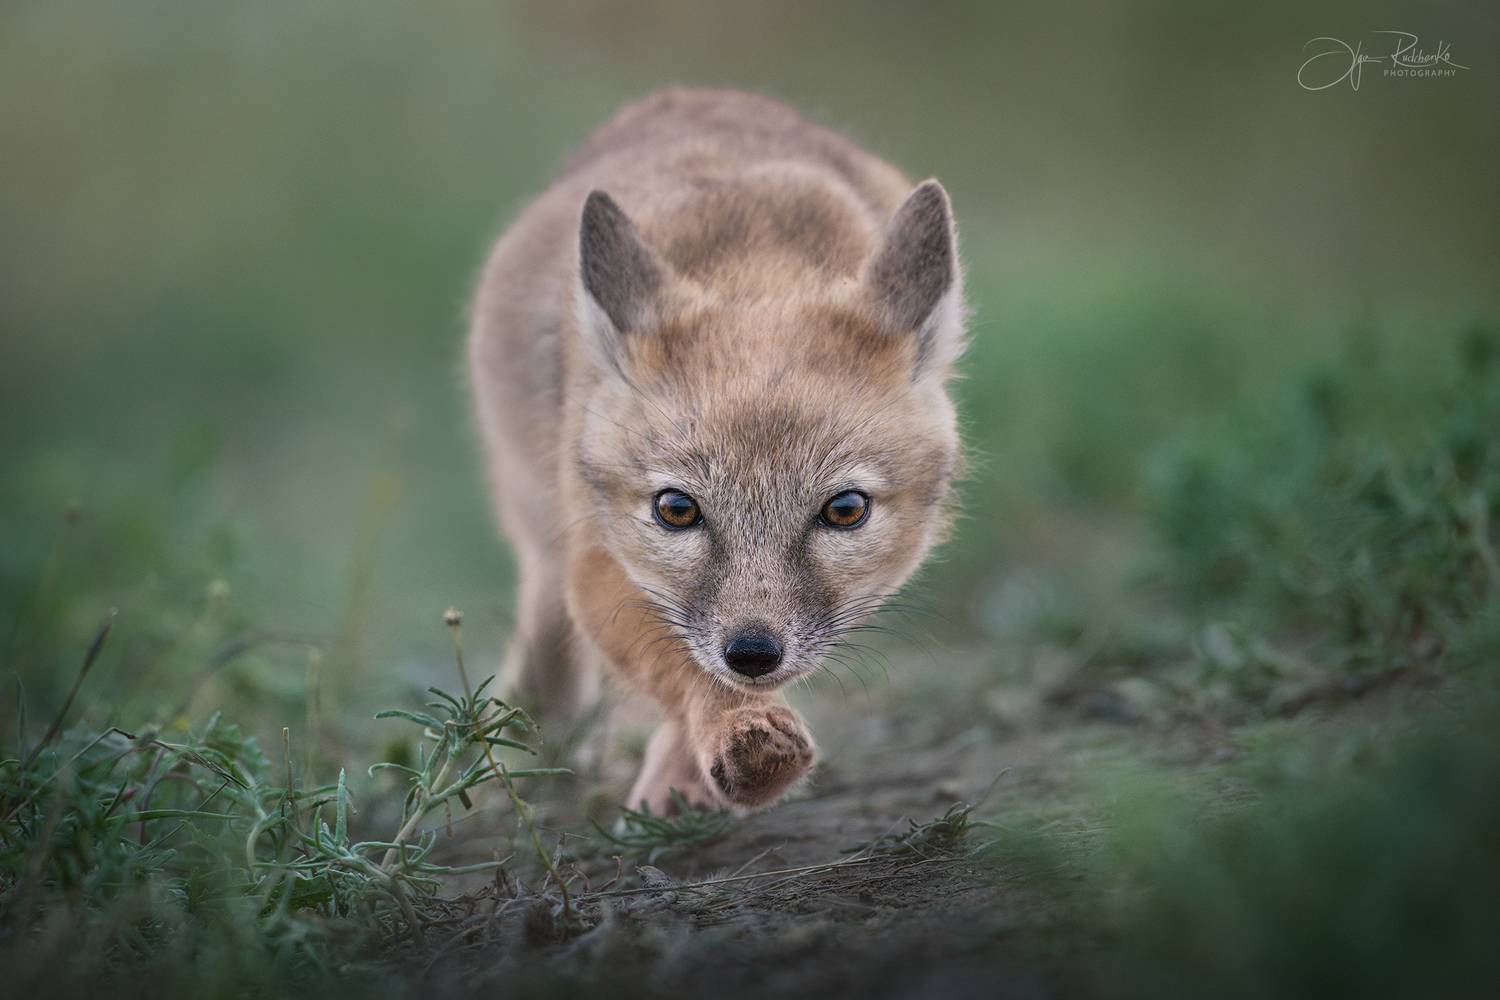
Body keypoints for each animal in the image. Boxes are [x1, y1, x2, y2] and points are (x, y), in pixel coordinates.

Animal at [467, 89, 964, 815]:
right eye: (676, 510)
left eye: (844, 510)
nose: (752, 653)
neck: (755, 258)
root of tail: (689, 93)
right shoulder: (595, 556)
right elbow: (681, 667)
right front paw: (734, 731)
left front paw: (694, 768)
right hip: (541, 522)